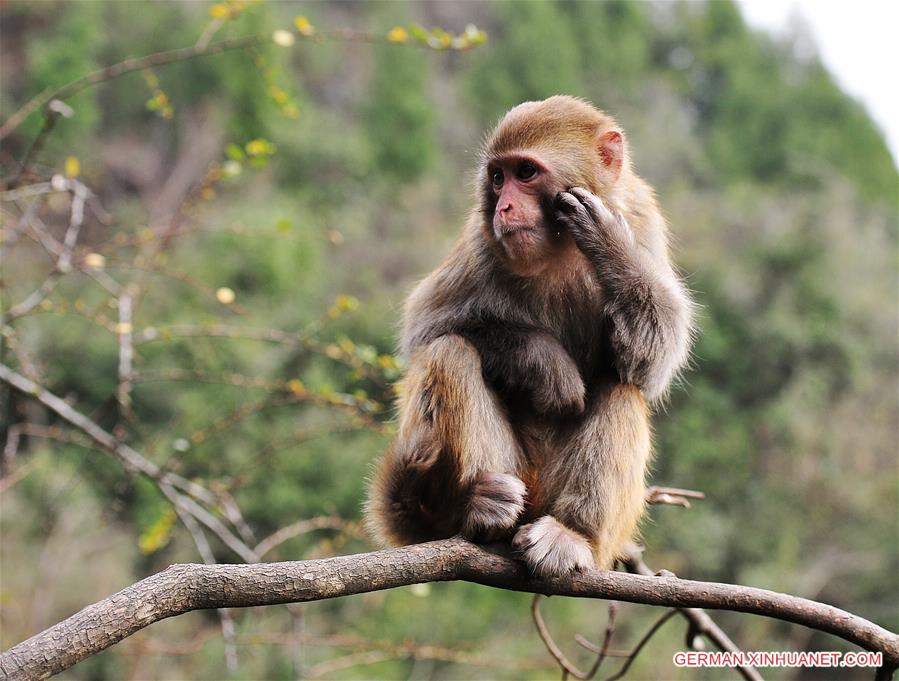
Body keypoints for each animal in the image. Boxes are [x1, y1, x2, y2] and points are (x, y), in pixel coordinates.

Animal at [366, 94, 696, 572]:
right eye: (497, 178)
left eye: (525, 173)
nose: (504, 207)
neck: (559, 247)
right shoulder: (482, 240)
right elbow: (425, 327)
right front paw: (545, 364)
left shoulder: (641, 216)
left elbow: (652, 358)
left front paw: (608, 242)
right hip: (517, 474)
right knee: (450, 352)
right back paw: (476, 511)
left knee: (622, 386)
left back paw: (573, 534)